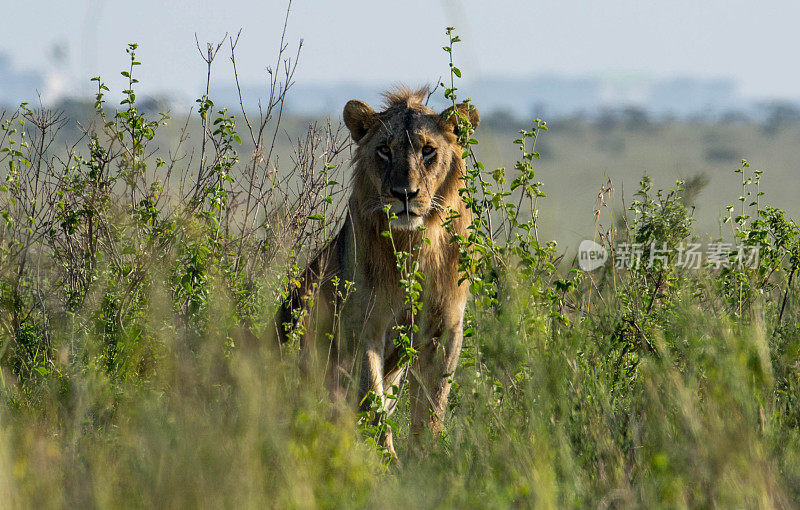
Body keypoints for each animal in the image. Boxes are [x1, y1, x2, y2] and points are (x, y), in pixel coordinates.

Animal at [280, 85, 482, 456]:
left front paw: (426, 459)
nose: (404, 194)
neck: (412, 243)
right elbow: (370, 403)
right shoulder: (364, 325)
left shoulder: (444, 327)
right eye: (385, 150)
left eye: (428, 150)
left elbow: (432, 405)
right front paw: (385, 463)